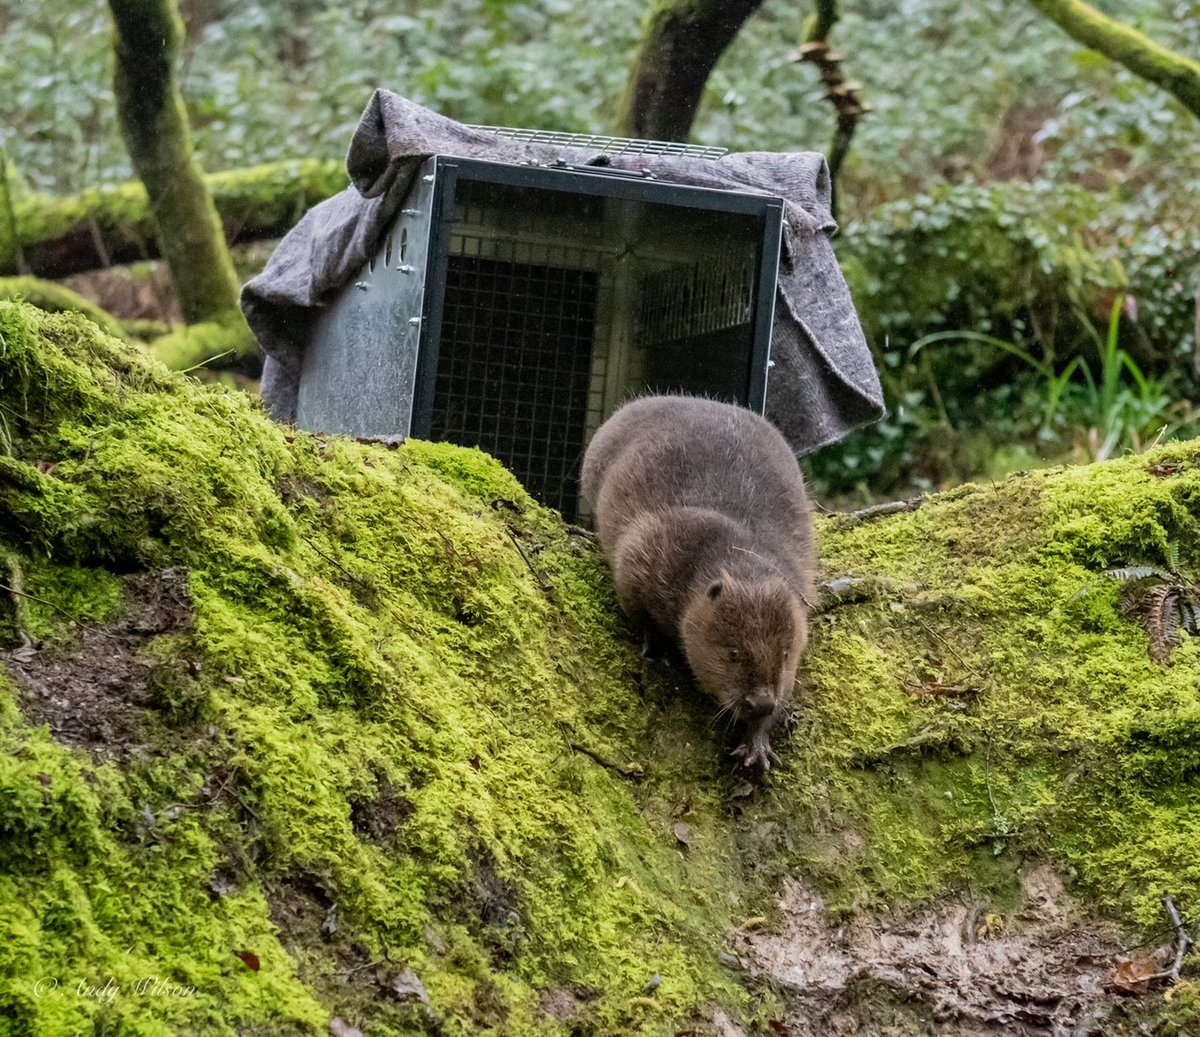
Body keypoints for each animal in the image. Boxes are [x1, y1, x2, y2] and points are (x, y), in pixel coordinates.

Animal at [580, 396, 816, 768]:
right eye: (734, 652)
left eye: (785, 652)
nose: (760, 701)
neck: (735, 548)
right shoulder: (648, 549)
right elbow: (636, 605)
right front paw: (659, 650)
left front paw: (757, 748)